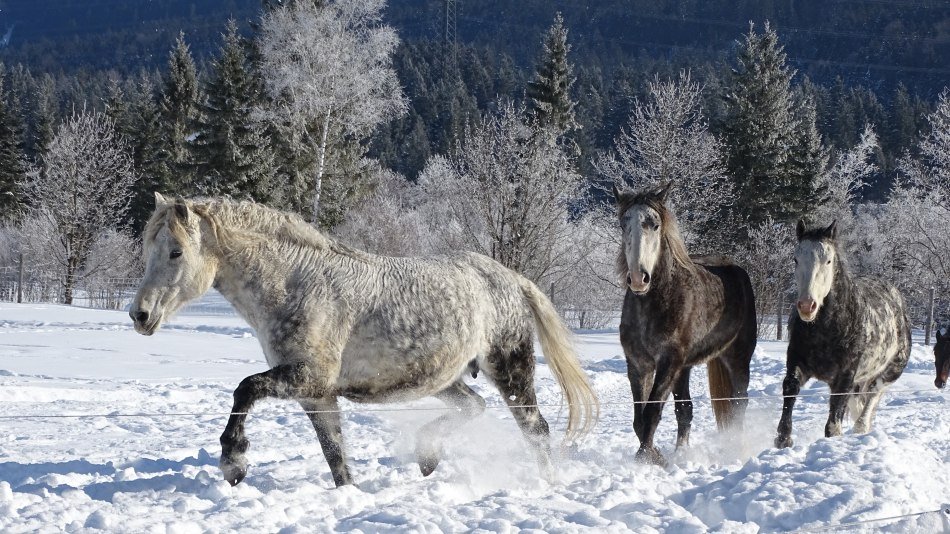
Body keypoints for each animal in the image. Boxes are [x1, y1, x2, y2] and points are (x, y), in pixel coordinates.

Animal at [616, 182, 760, 466]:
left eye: (655, 225)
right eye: (623, 224)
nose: (638, 278)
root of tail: (737, 270)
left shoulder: (667, 361)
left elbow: (651, 413)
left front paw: (647, 459)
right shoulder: (638, 364)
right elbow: (640, 419)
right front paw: (656, 455)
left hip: (737, 357)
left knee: (739, 403)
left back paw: (736, 448)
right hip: (684, 368)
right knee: (685, 409)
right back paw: (681, 452)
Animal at [776, 220, 912, 450]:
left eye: (828, 261)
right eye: (796, 259)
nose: (806, 306)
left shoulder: (845, 378)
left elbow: (834, 421)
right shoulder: (797, 363)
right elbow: (790, 388)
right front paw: (783, 439)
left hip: (889, 372)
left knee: (871, 399)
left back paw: (860, 429)